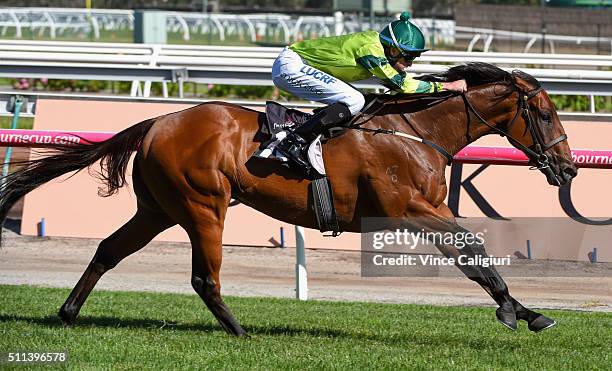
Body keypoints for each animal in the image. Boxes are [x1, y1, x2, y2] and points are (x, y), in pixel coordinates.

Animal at [0, 63, 576, 338]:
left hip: (157, 208)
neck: (417, 131)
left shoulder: (429, 211)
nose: (568, 167)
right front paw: (514, 310)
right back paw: (240, 331)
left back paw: (69, 313)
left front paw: (527, 312)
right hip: (203, 205)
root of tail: (159, 120)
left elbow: (472, 256)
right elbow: (474, 253)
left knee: (108, 250)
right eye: (547, 114)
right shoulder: (409, 211)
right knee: (204, 277)